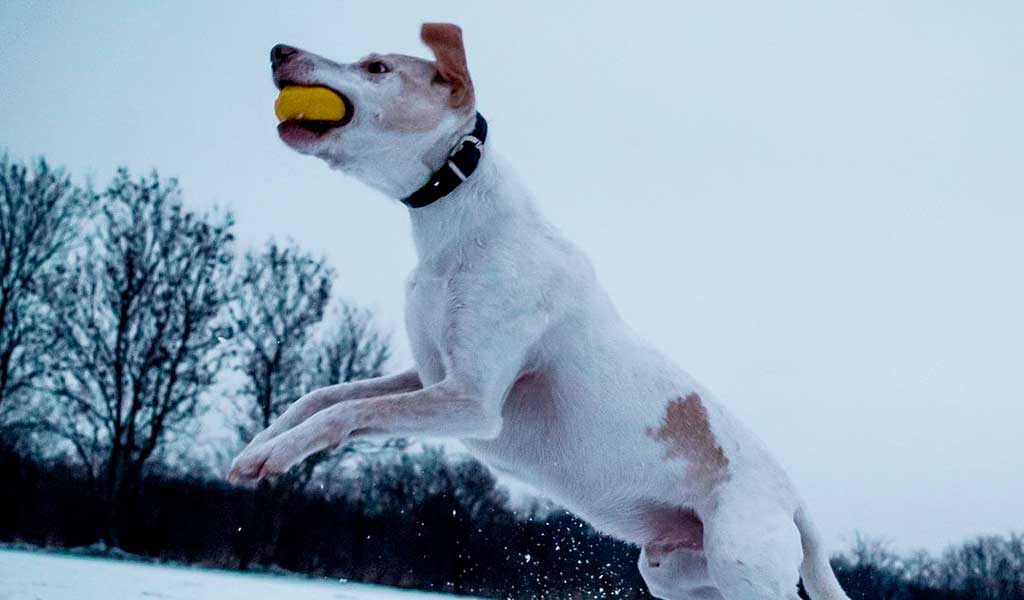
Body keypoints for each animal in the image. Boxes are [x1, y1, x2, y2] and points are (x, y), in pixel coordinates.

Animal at [228, 23, 851, 597]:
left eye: (377, 67)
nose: (278, 50)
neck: (461, 230)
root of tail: (795, 500)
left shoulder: (472, 399)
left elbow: (343, 412)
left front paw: (276, 455)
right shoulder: (427, 373)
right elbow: (324, 397)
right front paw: (259, 446)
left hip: (739, 563)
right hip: (672, 571)